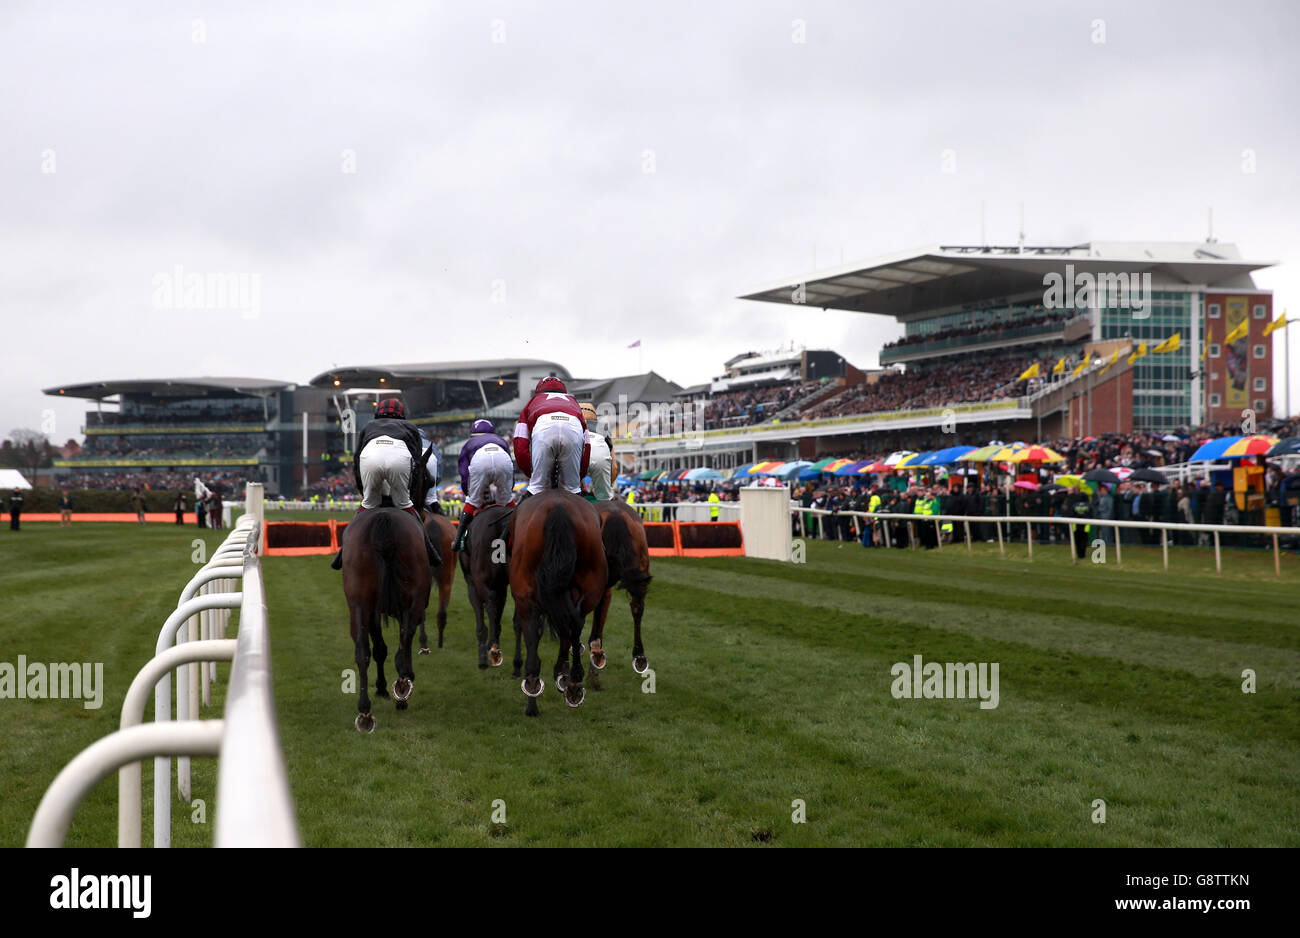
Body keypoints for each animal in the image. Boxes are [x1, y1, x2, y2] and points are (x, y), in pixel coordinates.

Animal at [343, 446, 434, 732]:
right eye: (428, 480)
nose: (425, 510)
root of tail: (383, 518)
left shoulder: (373, 607)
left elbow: (379, 648)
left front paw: (384, 687)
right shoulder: (413, 602)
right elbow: (397, 644)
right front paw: (395, 683)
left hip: (358, 599)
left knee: (362, 649)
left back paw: (365, 710)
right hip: (410, 597)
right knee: (404, 637)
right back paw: (402, 689)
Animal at [454, 504, 514, 665]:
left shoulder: (472, 582)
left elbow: (480, 608)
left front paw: (483, 638)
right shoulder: (502, 584)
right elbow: (500, 608)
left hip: (480, 579)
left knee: (490, 603)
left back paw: (493, 648)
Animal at [506, 485, 608, 711]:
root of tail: (558, 508)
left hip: (525, 591)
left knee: (539, 627)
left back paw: (539, 685)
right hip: (591, 584)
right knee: (574, 622)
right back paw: (568, 682)